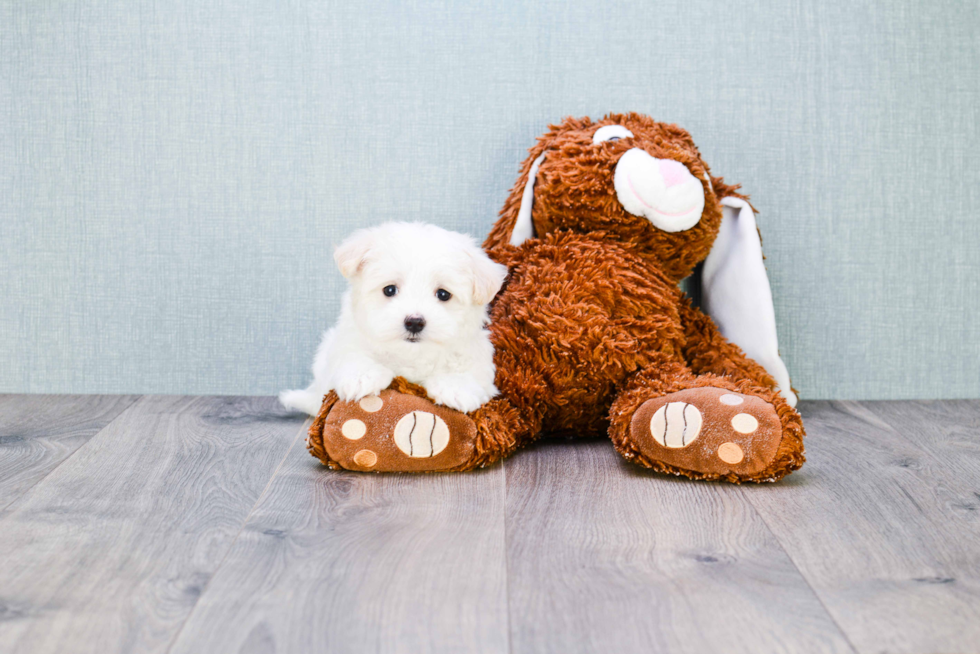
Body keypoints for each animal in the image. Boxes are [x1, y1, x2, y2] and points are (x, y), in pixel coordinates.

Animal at [276, 223, 506, 418]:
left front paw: (455, 388)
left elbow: (468, 372)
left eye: (443, 294)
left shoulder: (476, 357)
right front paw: (362, 376)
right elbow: (352, 354)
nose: (414, 322)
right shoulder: (346, 340)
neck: (411, 354)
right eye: (389, 290)